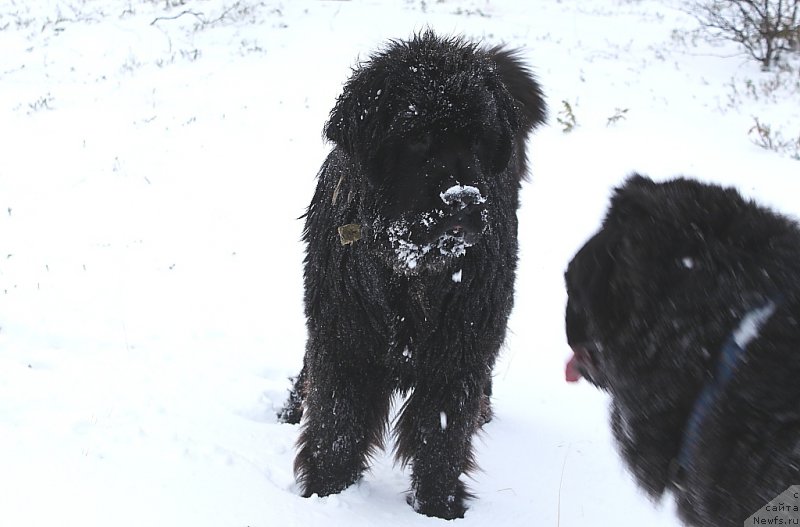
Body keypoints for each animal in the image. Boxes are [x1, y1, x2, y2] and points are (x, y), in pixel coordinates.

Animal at [278, 29, 548, 520]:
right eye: (417, 136)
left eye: (479, 141)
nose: (462, 200)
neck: (413, 275)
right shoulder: (346, 339)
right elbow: (336, 427)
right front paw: (325, 495)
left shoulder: (457, 352)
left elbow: (440, 439)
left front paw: (439, 510)